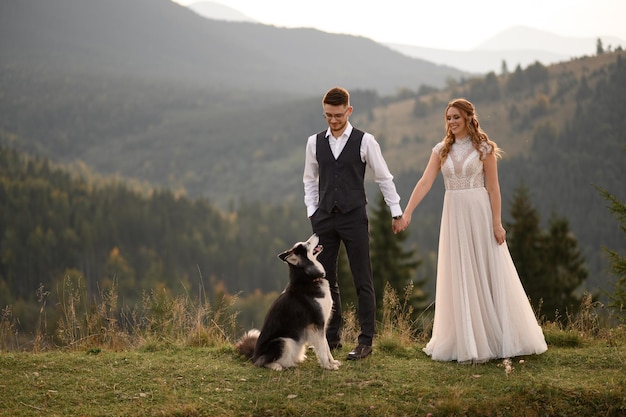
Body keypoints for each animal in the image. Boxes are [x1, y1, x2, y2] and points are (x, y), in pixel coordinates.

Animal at [235, 234, 342, 370]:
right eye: (307, 244)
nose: (316, 234)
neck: (308, 279)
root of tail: (254, 355)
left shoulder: (321, 326)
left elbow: (327, 346)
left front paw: (332, 362)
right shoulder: (317, 325)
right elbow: (323, 348)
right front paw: (328, 366)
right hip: (282, 341)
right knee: (263, 362)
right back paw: (276, 366)